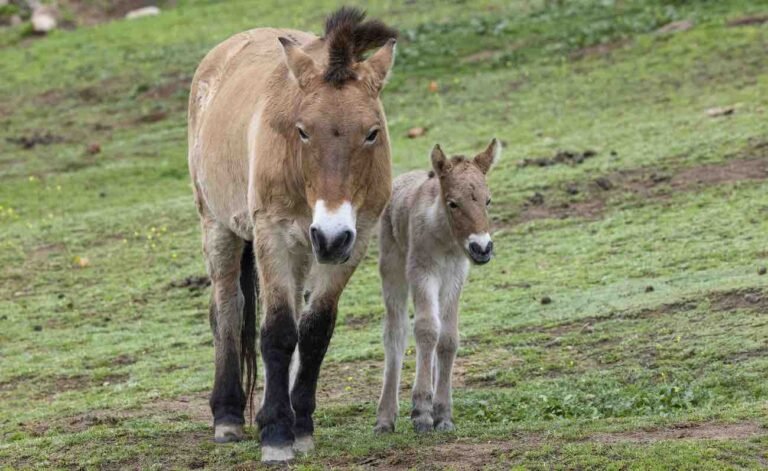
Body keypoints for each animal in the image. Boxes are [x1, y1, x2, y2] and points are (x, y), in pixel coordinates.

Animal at [187, 7, 397, 463]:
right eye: (302, 130)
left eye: (372, 132)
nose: (331, 235)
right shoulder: (274, 236)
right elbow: (279, 332)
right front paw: (277, 435)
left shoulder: (355, 240)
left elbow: (314, 332)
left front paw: (301, 427)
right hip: (219, 227)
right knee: (227, 310)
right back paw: (227, 416)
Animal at [374, 139, 500, 434]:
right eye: (453, 203)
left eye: (488, 200)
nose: (482, 248)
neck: (445, 240)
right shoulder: (422, 272)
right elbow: (426, 330)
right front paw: (421, 411)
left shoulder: (455, 277)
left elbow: (448, 337)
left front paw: (442, 414)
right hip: (392, 269)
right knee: (396, 333)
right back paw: (386, 418)